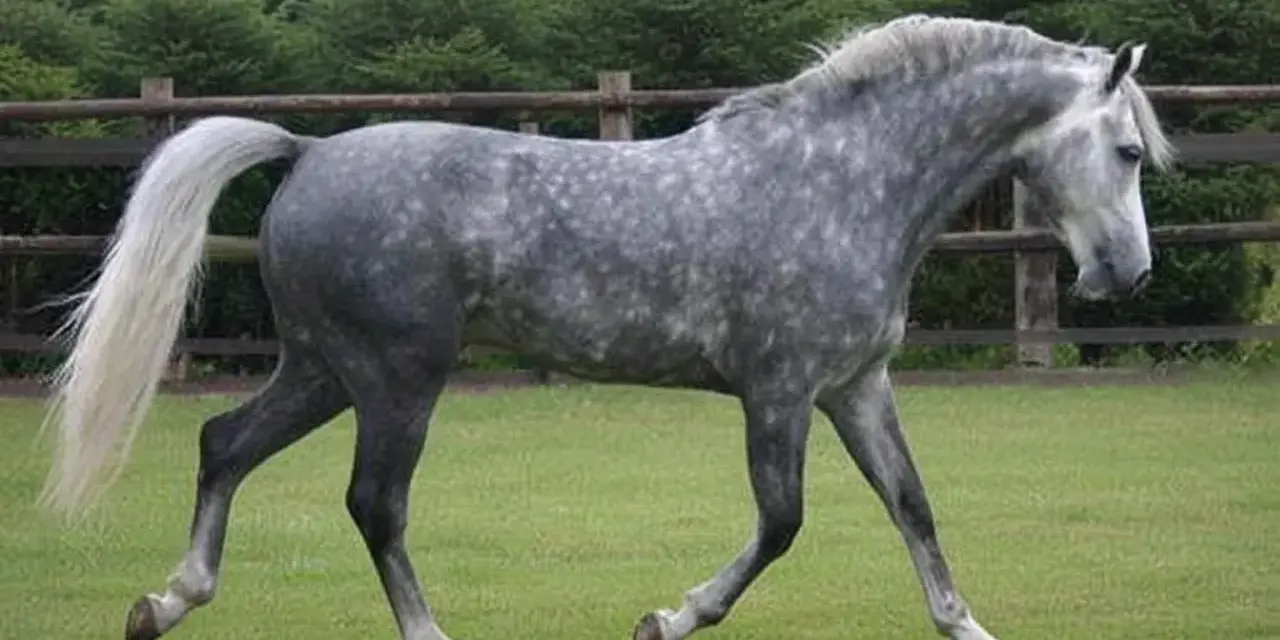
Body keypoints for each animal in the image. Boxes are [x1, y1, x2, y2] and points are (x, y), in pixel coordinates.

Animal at [38, 13, 1174, 640]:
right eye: (1125, 150)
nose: (1126, 272)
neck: (843, 181)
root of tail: (308, 153)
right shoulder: (778, 391)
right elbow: (781, 523)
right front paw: (667, 617)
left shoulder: (855, 387)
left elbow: (912, 506)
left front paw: (965, 624)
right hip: (397, 381)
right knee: (375, 505)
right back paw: (426, 631)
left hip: (322, 370)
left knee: (222, 444)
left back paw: (162, 604)